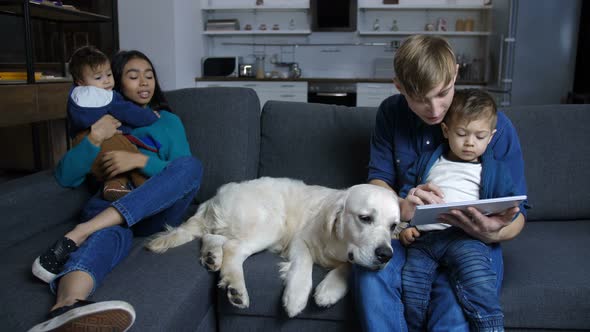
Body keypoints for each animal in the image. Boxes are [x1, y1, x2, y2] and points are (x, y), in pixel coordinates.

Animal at [147, 178, 402, 318]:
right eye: (365, 218)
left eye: (393, 226)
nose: (386, 255)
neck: (340, 242)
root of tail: (216, 196)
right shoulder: (301, 240)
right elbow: (304, 265)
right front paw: (296, 297)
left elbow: (349, 267)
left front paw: (330, 289)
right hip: (271, 224)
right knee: (233, 247)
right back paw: (236, 287)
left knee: (214, 237)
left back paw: (212, 257)